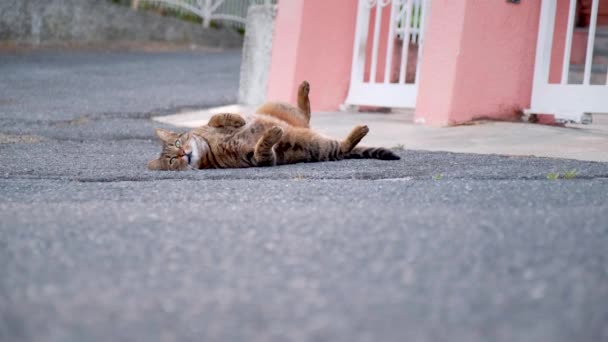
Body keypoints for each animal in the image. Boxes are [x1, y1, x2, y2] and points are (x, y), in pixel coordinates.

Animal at [148, 80, 400, 171]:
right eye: (171, 161)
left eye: (177, 142)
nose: (182, 153)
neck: (210, 147)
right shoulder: (258, 159)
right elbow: (263, 149)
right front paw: (271, 135)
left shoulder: (211, 125)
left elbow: (216, 118)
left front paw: (236, 119)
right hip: (322, 149)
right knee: (343, 146)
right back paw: (359, 131)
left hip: (276, 107)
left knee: (305, 114)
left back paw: (303, 88)